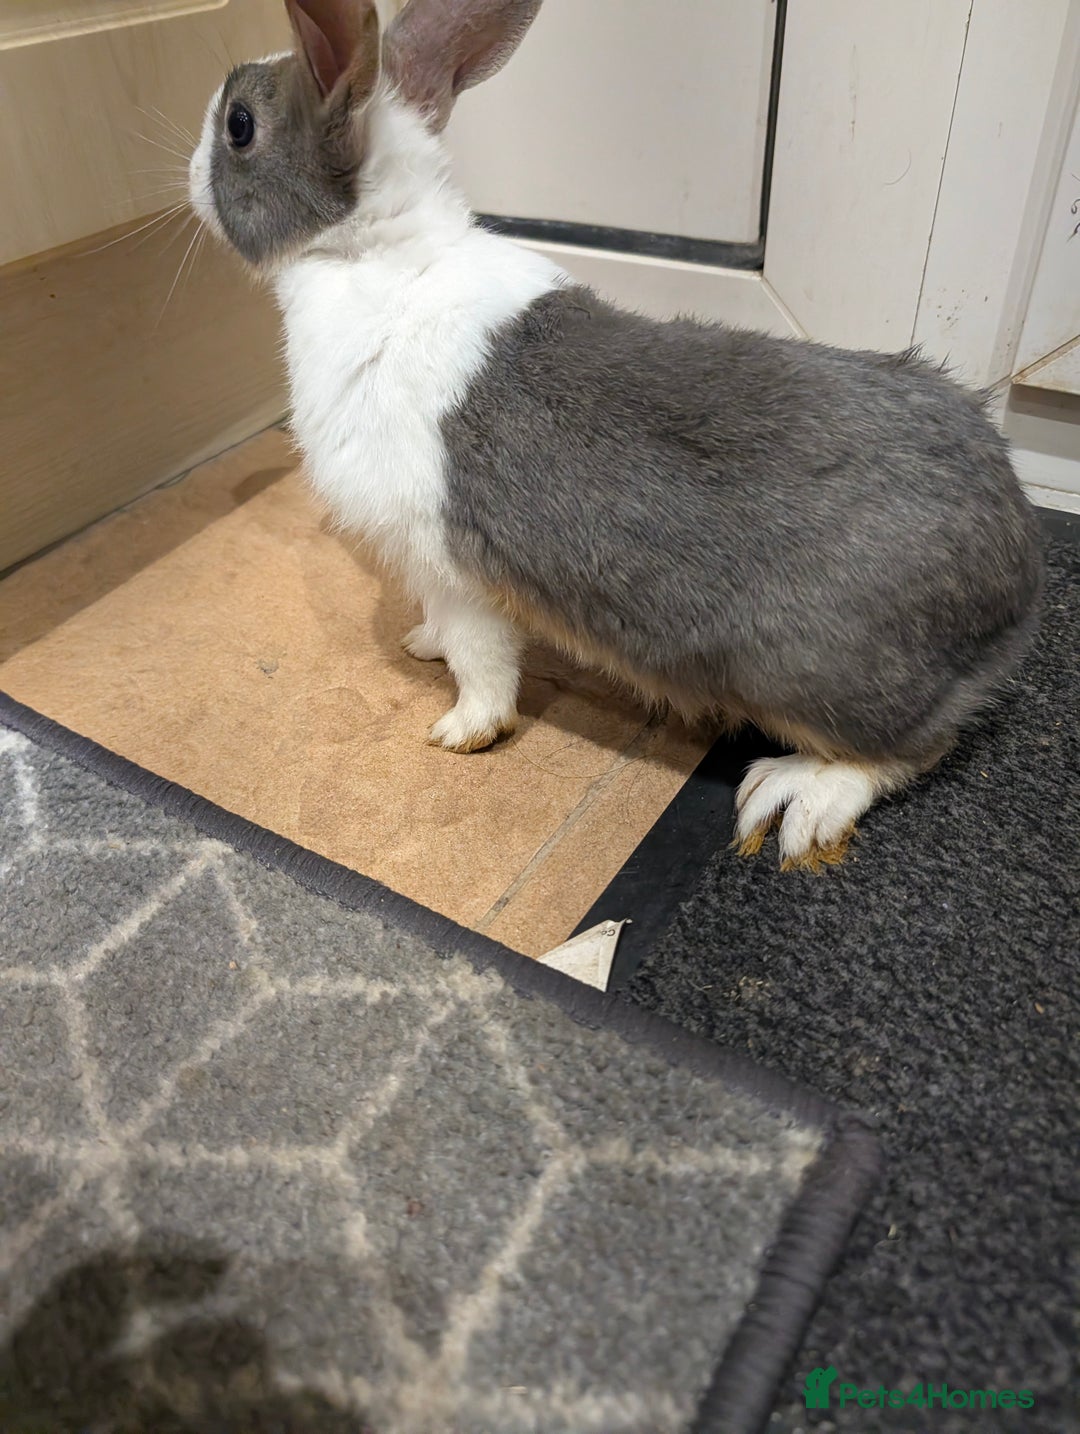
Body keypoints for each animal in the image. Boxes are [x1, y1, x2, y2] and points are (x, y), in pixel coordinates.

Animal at [189, 0, 1044, 870]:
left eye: (239, 125)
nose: (191, 166)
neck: (378, 253)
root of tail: (1014, 585)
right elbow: (448, 637)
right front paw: (419, 644)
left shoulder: (452, 570)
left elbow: (482, 663)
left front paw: (460, 731)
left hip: (818, 676)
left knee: (908, 749)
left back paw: (796, 798)